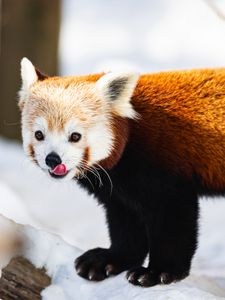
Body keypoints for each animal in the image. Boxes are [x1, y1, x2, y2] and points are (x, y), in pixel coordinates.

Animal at [18, 57, 225, 288]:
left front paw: (158, 272)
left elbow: (173, 222)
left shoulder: (165, 170)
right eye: (39, 134)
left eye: (75, 136)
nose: (53, 159)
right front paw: (109, 259)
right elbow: (126, 223)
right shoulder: (117, 189)